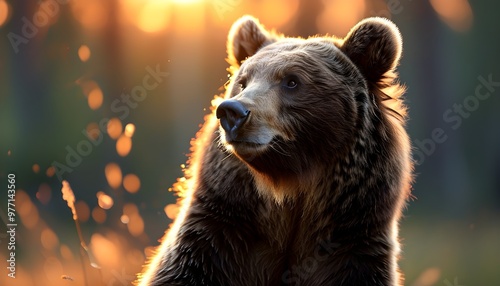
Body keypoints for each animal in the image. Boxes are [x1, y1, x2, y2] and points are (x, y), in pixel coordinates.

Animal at [139, 15, 412, 286]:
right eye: (243, 82)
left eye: (291, 81)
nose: (232, 112)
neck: (285, 187)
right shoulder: (214, 237)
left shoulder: (352, 246)